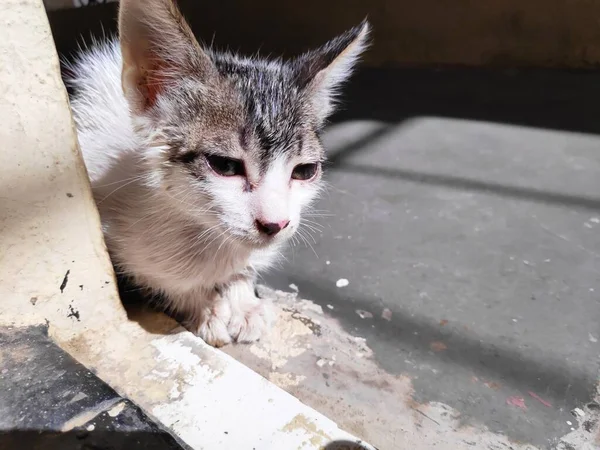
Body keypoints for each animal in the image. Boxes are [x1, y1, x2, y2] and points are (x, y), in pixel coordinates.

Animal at [67, 0, 370, 346]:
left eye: (305, 171)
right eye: (225, 166)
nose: (275, 224)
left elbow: (243, 267)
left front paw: (242, 299)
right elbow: (161, 277)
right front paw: (204, 307)